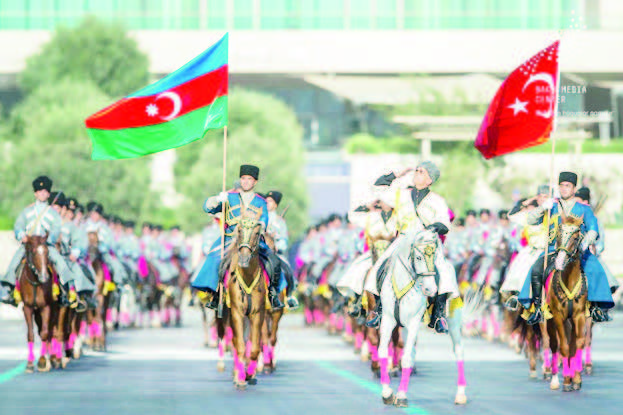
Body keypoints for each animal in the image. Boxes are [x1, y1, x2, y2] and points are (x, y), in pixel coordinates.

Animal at [19, 236, 55, 376]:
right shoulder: (27, 308)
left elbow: (45, 333)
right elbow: (30, 334)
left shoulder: (46, 307)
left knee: (51, 331)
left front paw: (41, 362)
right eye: (34, 252)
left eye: (47, 252)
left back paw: (53, 360)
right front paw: (29, 364)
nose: (45, 277)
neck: (35, 282)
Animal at [376, 231, 468, 410]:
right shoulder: (388, 320)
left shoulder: (413, 322)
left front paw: (401, 396)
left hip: (453, 320)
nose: (430, 289)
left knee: (458, 351)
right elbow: (383, 351)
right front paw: (387, 393)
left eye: (434, 256)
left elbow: (406, 358)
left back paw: (461, 394)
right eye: (418, 257)